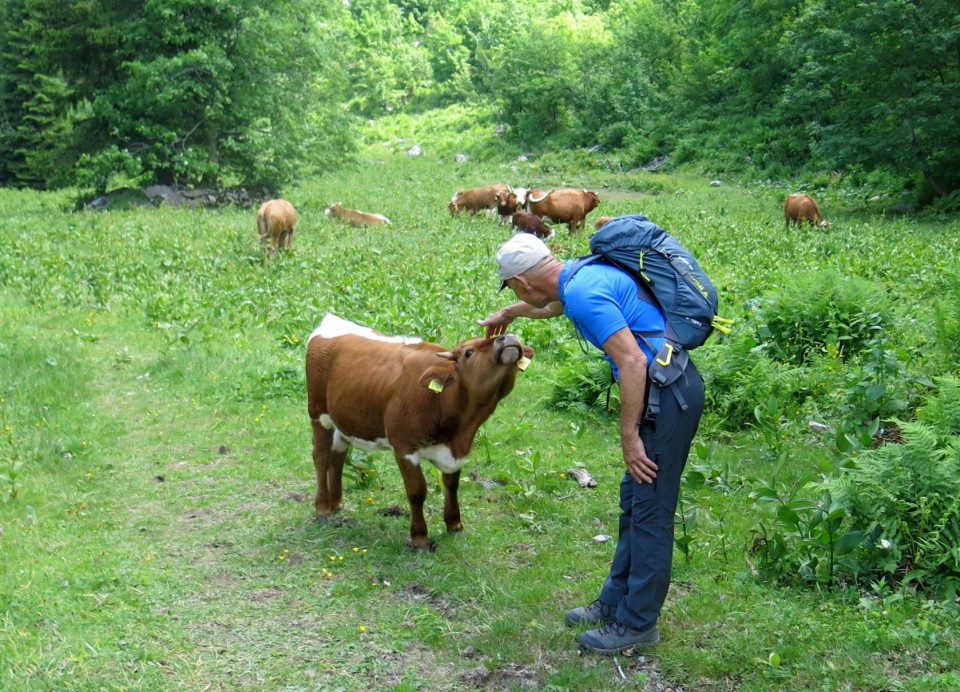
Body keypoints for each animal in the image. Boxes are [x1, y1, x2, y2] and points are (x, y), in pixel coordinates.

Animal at [306, 314, 536, 552]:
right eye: (469, 352)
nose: (506, 336)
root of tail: (332, 321)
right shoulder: (404, 447)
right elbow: (417, 491)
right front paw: (420, 538)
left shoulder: (455, 452)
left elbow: (452, 485)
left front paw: (454, 524)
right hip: (318, 412)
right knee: (321, 456)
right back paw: (323, 509)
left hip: (343, 420)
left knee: (338, 457)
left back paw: (337, 503)